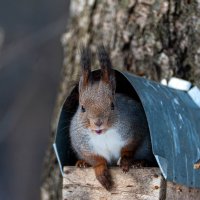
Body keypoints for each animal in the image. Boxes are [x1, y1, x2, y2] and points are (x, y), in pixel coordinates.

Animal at [69, 45, 155, 189]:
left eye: (112, 105)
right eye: (82, 108)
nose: (98, 122)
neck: (104, 135)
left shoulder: (136, 127)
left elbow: (130, 147)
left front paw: (125, 161)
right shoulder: (83, 145)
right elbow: (95, 159)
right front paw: (101, 172)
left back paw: (140, 162)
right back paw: (82, 163)